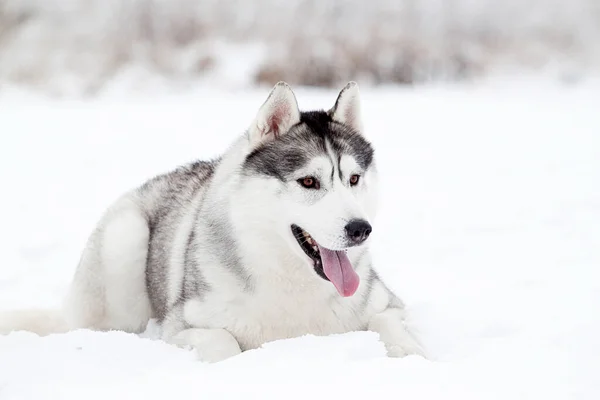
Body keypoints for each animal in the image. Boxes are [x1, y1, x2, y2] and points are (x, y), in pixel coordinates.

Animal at [1, 82, 422, 362]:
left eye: (354, 179)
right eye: (308, 182)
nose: (360, 229)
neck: (292, 282)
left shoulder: (389, 304)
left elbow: (391, 325)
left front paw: (411, 352)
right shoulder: (180, 328)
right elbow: (224, 343)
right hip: (125, 240)